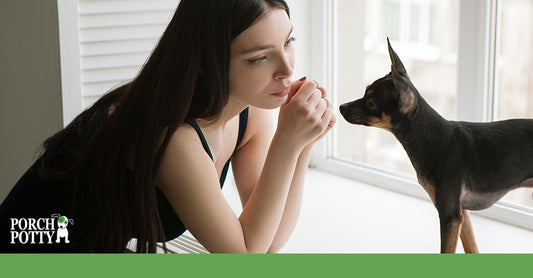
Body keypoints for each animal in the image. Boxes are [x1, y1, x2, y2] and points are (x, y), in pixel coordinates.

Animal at [338, 39, 532, 254]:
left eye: (371, 102)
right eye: (364, 92)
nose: (341, 107)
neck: (431, 141)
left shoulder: (450, 216)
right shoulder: (461, 214)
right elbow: (472, 247)